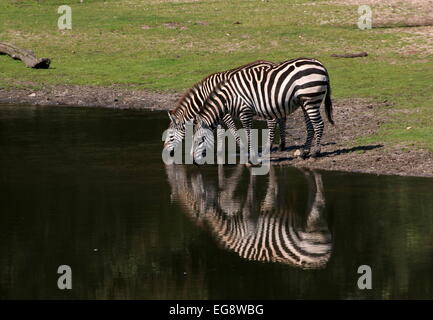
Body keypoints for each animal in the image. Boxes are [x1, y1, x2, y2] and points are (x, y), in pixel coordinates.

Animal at [165, 164, 330, 268]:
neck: (231, 228)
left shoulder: (249, 218)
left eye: (198, 193)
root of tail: (324, 258)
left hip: (312, 229)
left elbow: (253, 193)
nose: (194, 175)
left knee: (318, 202)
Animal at [191, 56, 332, 164]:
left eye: (200, 141)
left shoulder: (245, 112)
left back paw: (315, 153)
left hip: (311, 98)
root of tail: (320, 64)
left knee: (319, 124)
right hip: (305, 101)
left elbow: (248, 133)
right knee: (310, 126)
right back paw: (305, 152)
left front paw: (252, 158)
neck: (228, 99)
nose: (193, 161)